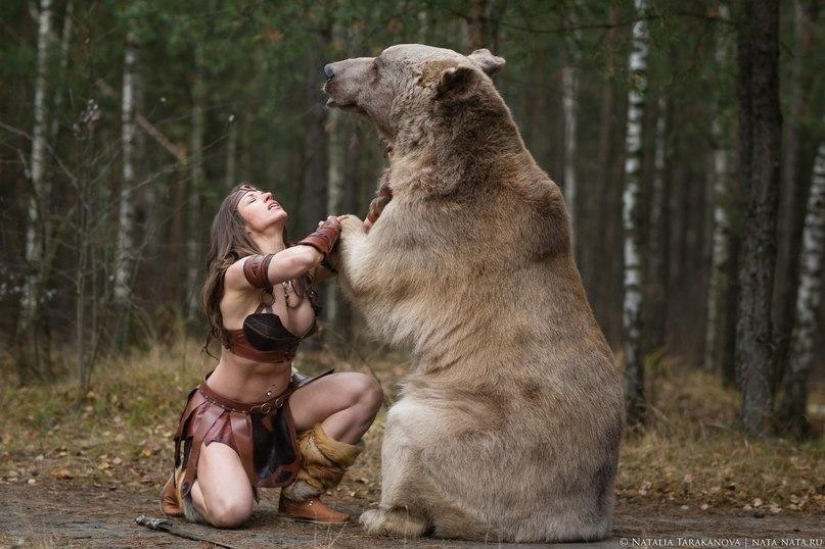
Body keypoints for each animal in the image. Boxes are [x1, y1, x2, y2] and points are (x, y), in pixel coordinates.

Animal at [323, 44, 623, 543]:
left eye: (379, 63)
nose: (329, 71)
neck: (437, 149)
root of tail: (582, 516)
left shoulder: (439, 224)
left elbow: (376, 272)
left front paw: (342, 224)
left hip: (480, 435)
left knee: (408, 430)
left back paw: (383, 514)